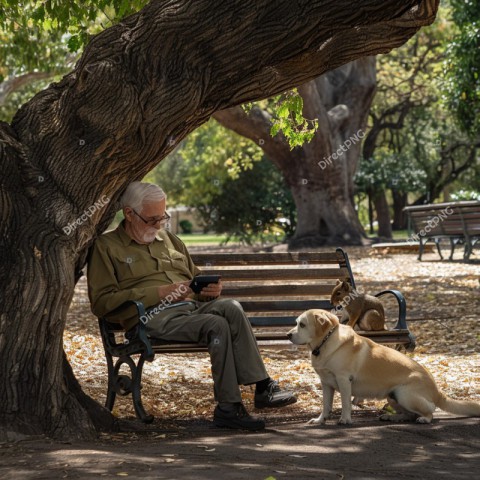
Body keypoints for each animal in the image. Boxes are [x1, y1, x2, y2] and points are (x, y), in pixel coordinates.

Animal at [288, 310, 480, 426]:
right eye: (296, 323)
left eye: (302, 324)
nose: (288, 335)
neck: (326, 342)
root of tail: (437, 390)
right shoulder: (326, 383)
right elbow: (325, 405)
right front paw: (320, 420)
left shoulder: (343, 380)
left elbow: (345, 403)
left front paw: (345, 419)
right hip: (392, 397)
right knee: (409, 415)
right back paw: (392, 416)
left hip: (404, 394)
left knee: (430, 411)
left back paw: (424, 419)